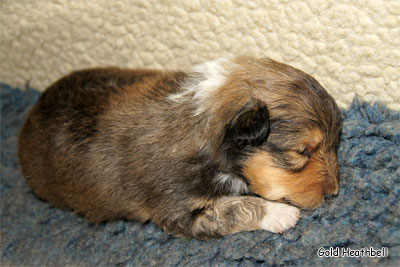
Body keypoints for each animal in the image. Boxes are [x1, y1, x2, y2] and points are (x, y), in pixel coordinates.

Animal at [18, 57, 342, 241]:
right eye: (302, 152)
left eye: (336, 142)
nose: (334, 193)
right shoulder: (178, 209)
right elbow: (234, 209)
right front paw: (280, 214)